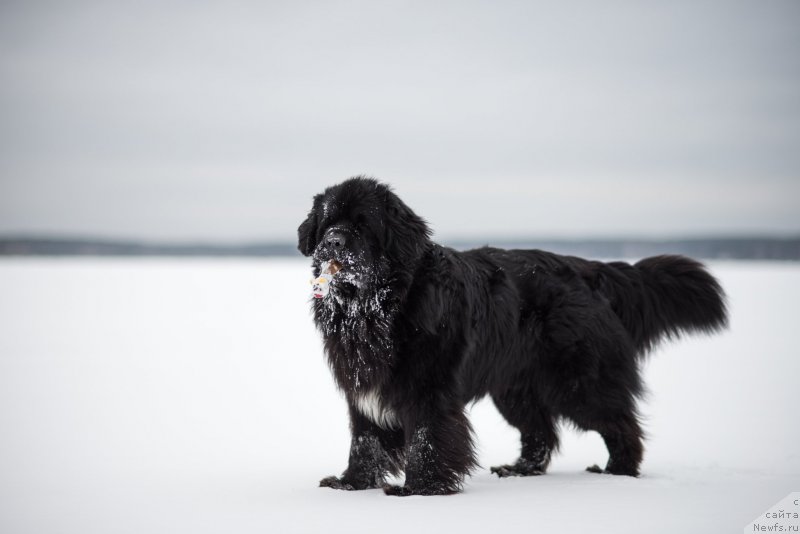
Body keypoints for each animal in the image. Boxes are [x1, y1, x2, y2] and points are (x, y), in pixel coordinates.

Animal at [296, 177, 728, 498]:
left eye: (363, 224)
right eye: (327, 222)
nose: (332, 241)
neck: (377, 307)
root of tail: (590, 270)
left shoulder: (428, 389)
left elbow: (427, 438)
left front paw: (420, 489)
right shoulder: (363, 389)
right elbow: (365, 440)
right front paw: (350, 483)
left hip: (578, 383)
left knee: (621, 424)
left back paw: (617, 472)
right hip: (515, 388)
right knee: (541, 432)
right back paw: (519, 470)